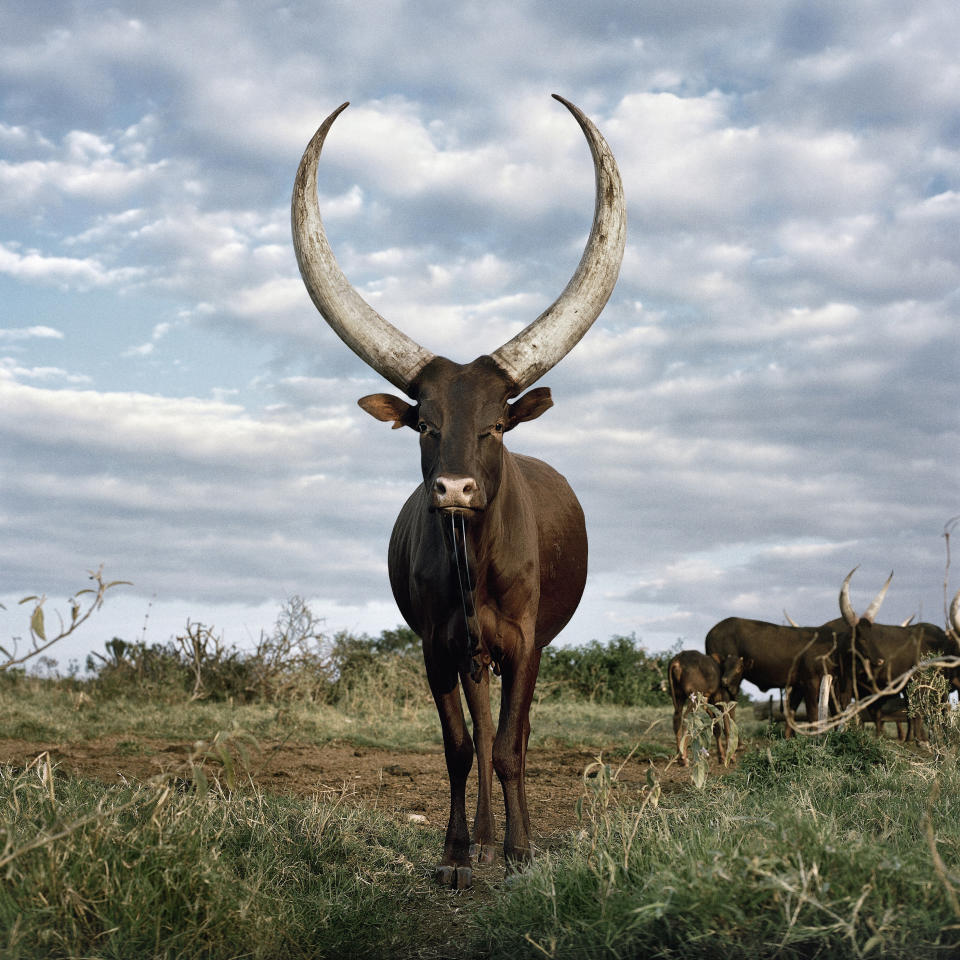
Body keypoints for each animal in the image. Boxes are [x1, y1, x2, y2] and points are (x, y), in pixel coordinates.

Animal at [288, 95, 628, 884]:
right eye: (424, 424)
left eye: (496, 425)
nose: (453, 488)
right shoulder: (436, 646)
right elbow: (460, 746)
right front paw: (455, 852)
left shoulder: (527, 644)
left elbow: (508, 747)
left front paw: (521, 852)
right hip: (471, 654)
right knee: (478, 724)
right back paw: (480, 834)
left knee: (516, 737)